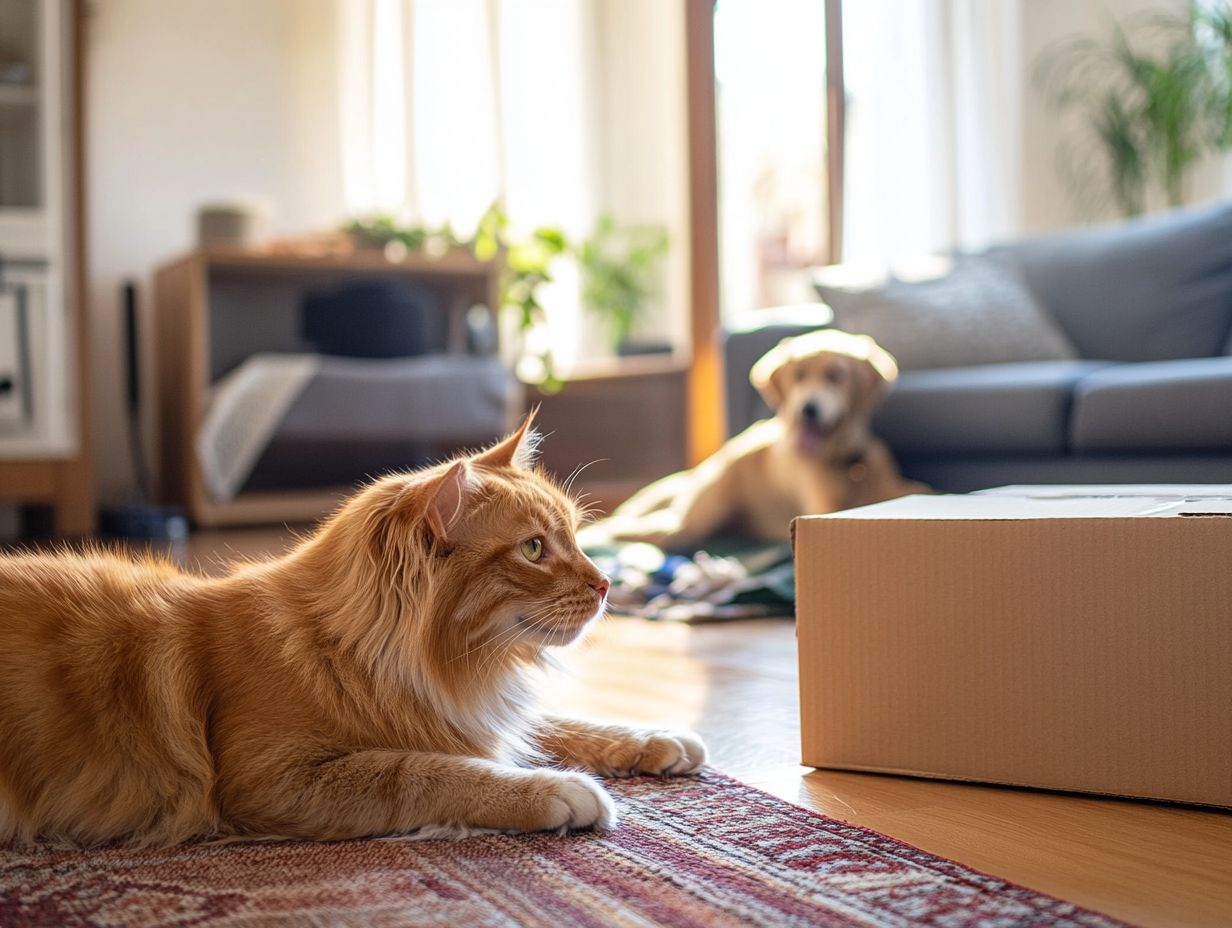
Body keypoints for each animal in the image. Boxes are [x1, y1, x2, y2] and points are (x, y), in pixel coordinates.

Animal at [0, 419, 704, 847]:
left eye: (576, 540)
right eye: (534, 549)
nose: (607, 584)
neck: (348, 653)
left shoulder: (463, 713)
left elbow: (563, 725)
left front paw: (656, 739)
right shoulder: (272, 777)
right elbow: (435, 773)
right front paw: (563, 790)